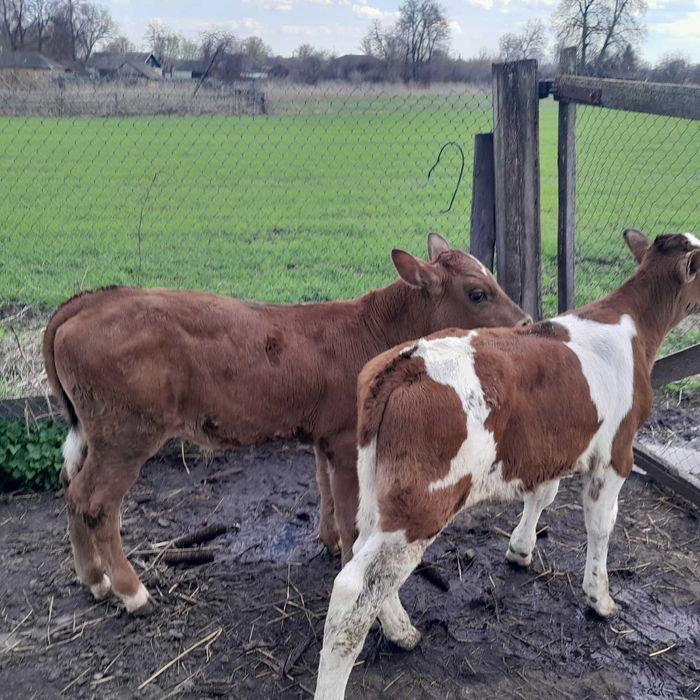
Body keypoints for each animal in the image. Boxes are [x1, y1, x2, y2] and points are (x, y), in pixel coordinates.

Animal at [42, 234, 529, 614]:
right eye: (478, 292)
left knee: (70, 486)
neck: (369, 330)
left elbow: (324, 489)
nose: (526, 323)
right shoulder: (346, 439)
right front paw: (346, 553)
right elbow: (350, 508)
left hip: (94, 434)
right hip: (126, 435)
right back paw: (132, 592)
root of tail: (95, 298)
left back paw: (95, 580)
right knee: (95, 502)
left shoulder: (322, 436)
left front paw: (328, 540)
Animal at [314, 230, 700, 700]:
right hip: (421, 503)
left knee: (367, 563)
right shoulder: (616, 452)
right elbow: (601, 525)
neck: (631, 326)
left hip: (378, 487)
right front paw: (600, 598)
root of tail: (407, 360)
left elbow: (543, 494)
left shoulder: (552, 445)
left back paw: (402, 631)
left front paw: (520, 549)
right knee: (353, 590)